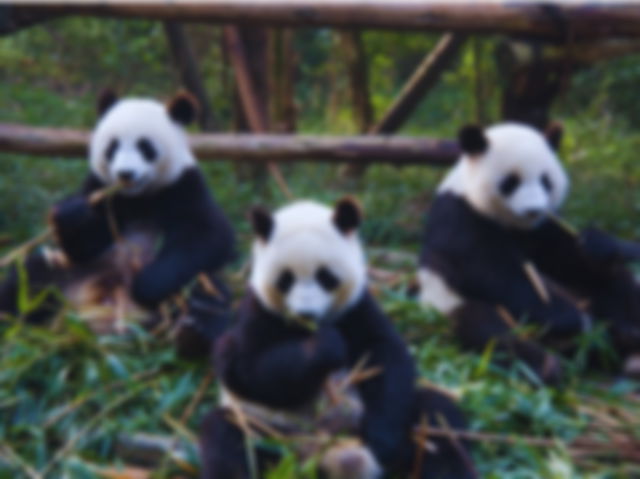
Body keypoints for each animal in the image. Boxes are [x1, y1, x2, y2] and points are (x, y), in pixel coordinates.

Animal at [0, 90, 235, 356]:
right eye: (112, 147)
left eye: (145, 147)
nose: (125, 174)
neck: (138, 197)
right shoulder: (101, 190)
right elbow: (83, 244)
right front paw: (72, 215)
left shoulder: (184, 185)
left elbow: (209, 236)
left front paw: (148, 284)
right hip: (68, 273)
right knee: (30, 278)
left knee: (210, 292)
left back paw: (194, 333)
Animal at [200, 198, 474, 479]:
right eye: (286, 279)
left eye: (325, 277)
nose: (306, 313)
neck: (307, 327)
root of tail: (329, 454)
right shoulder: (257, 312)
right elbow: (247, 368)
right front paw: (325, 347)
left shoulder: (357, 308)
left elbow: (385, 355)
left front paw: (381, 439)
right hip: (273, 432)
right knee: (226, 435)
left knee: (438, 416)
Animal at [417, 122, 640, 383]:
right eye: (511, 182)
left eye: (546, 181)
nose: (533, 209)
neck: (513, 225)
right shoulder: (460, 216)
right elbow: (492, 271)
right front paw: (567, 317)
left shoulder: (543, 228)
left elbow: (570, 258)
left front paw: (595, 243)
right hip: (450, 301)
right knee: (489, 329)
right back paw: (547, 364)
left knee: (615, 280)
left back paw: (626, 335)